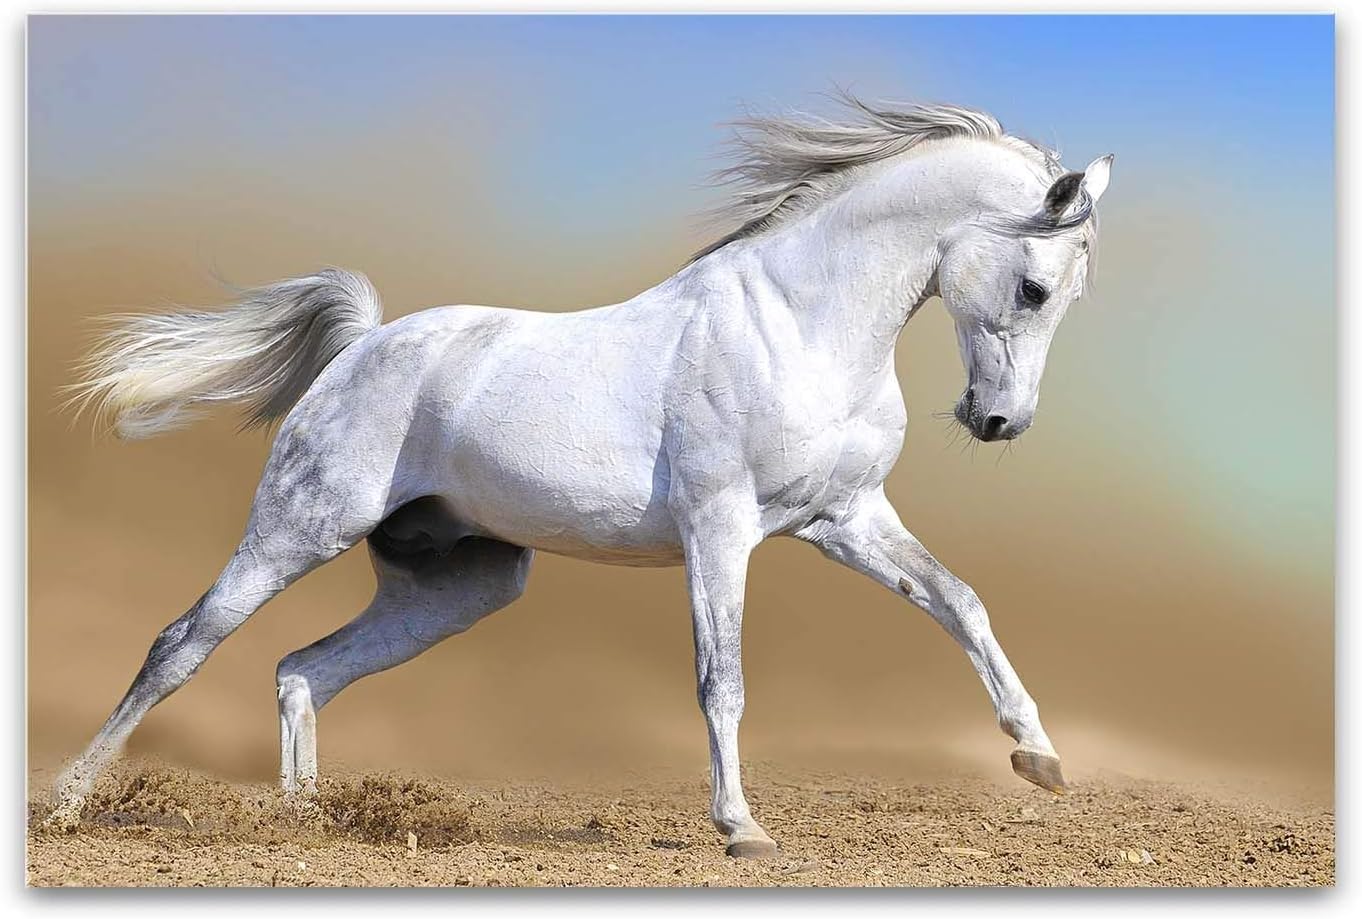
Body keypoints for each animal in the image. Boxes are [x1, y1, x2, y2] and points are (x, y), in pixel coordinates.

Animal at [52, 96, 1113, 857]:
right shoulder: (720, 529)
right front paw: (742, 829)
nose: (998, 421)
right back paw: (67, 803)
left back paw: (307, 824)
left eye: (1067, 297)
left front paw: (1040, 757)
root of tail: (362, 345)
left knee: (303, 669)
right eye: (1035, 287)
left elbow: (960, 602)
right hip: (298, 528)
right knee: (182, 645)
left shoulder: (846, 519)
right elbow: (722, 678)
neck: (798, 323)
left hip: (459, 585)